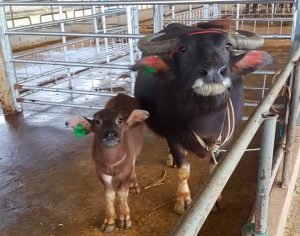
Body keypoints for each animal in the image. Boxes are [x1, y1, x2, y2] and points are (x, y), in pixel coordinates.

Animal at [67, 93, 149, 232]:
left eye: (120, 120)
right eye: (97, 121)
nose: (110, 134)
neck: (112, 162)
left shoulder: (125, 170)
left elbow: (122, 193)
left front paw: (124, 218)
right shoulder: (101, 172)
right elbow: (109, 195)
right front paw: (109, 221)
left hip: (136, 150)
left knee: (133, 164)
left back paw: (133, 183)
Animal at [132, 21, 274, 214]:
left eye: (227, 47)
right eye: (183, 49)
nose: (213, 72)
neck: (206, 116)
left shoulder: (224, 140)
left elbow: (215, 168)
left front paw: (215, 198)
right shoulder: (173, 137)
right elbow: (184, 169)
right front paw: (183, 199)